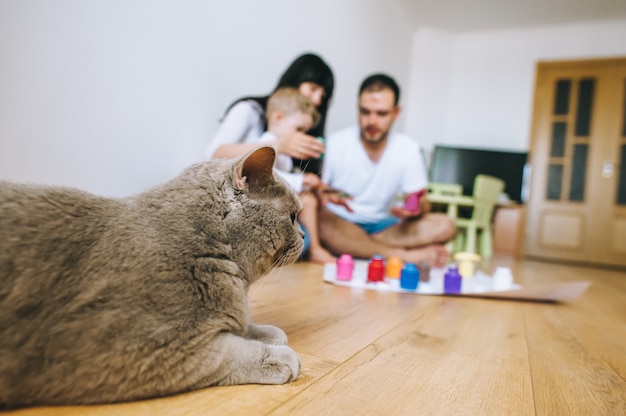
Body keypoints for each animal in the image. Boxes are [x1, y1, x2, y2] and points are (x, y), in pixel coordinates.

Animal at [0, 146, 302, 410]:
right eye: (292, 215)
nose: (303, 235)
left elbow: (240, 326)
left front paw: (266, 332)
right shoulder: (154, 351)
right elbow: (230, 352)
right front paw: (279, 357)